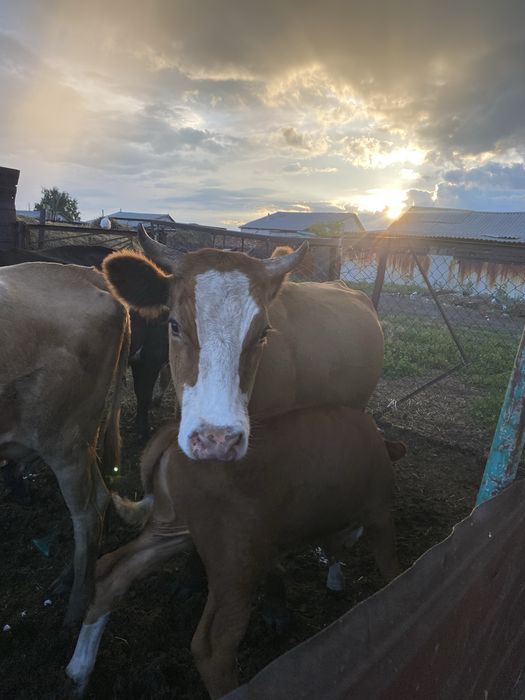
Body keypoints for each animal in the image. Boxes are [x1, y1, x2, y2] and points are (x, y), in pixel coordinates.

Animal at [0, 262, 129, 624]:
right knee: (100, 498)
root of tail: (87, 274)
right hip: (83, 439)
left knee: (86, 515)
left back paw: (75, 608)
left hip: (65, 443)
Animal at [66, 406, 402, 698]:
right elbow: (391, 568)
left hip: (173, 529)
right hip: (234, 560)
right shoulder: (380, 513)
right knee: (212, 646)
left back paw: (78, 672)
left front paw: (334, 579)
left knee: (112, 571)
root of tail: (171, 439)